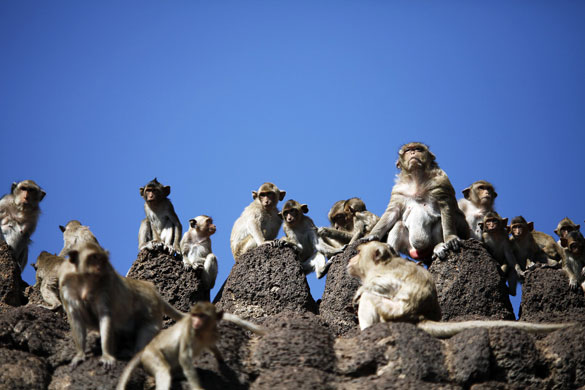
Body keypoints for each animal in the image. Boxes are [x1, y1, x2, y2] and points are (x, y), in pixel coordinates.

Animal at [117, 302, 264, 390]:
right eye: (194, 315)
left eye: (202, 316)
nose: (195, 322)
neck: (202, 332)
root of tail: (144, 350)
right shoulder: (189, 332)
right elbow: (184, 359)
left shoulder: (212, 334)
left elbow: (213, 347)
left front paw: (222, 359)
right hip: (151, 356)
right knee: (163, 370)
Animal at [350, 239, 572, 336]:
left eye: (358, 252)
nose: (351, 259)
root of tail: (419, 318)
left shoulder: (385, 273)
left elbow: (385, 286)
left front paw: (359, 291)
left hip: (391, 314)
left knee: (372, 299)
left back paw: (366, 328)